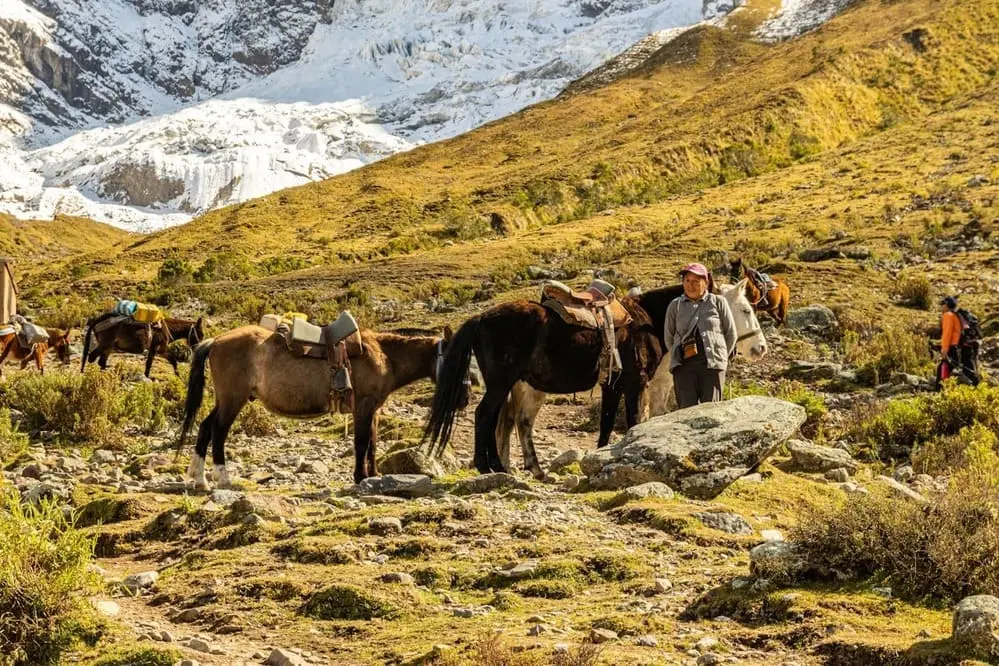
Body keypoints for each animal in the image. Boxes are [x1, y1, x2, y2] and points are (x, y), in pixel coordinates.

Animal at [180, 324, 468, 486]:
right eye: (456, 361)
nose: (464, 398)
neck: (385, 357)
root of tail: (216, 341)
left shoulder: (374, 410)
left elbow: (373, 443)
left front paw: (374, 475)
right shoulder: (363, 407)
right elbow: (361, 443)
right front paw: (360, 477)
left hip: (225, 400)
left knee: (204, 428)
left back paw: (199, 479)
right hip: (233, 400)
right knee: (218, 432)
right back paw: (222, 479)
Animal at [422, 294, 664, 472]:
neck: (646, 323)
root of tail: (480, 318)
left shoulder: (612, 387)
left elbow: (606, 423)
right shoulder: (635, 383)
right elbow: (633, 420)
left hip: (504, 386)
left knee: (497, 419)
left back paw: (500, 466)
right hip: (501, 383)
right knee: (485, 415)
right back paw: (488, 467)